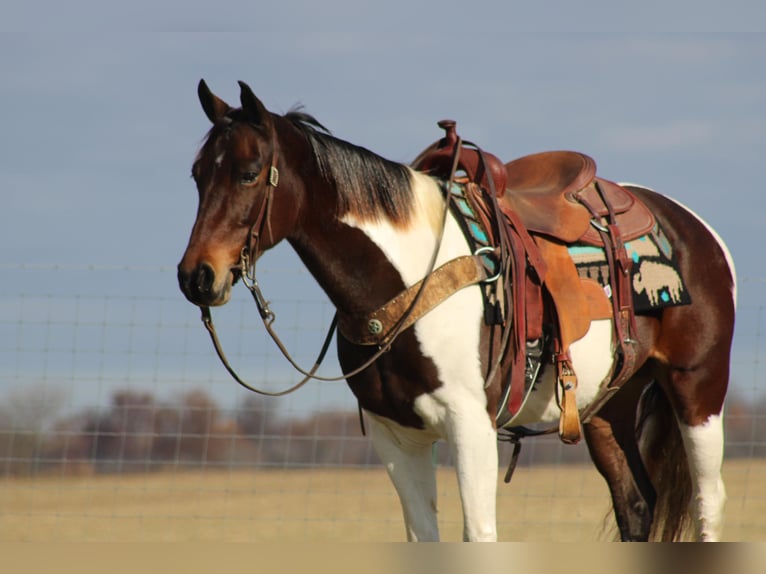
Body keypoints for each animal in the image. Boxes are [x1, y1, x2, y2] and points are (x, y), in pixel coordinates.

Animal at [178, 81, 736, 544]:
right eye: (197, 174)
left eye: (249, 174)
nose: (196, 277)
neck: (405, 278)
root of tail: (695, 227)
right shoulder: (395, 436)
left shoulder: (470, 426)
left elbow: (479, 535)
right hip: (606, 408)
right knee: (636, 504)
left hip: (697, 389)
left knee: (708, 503)